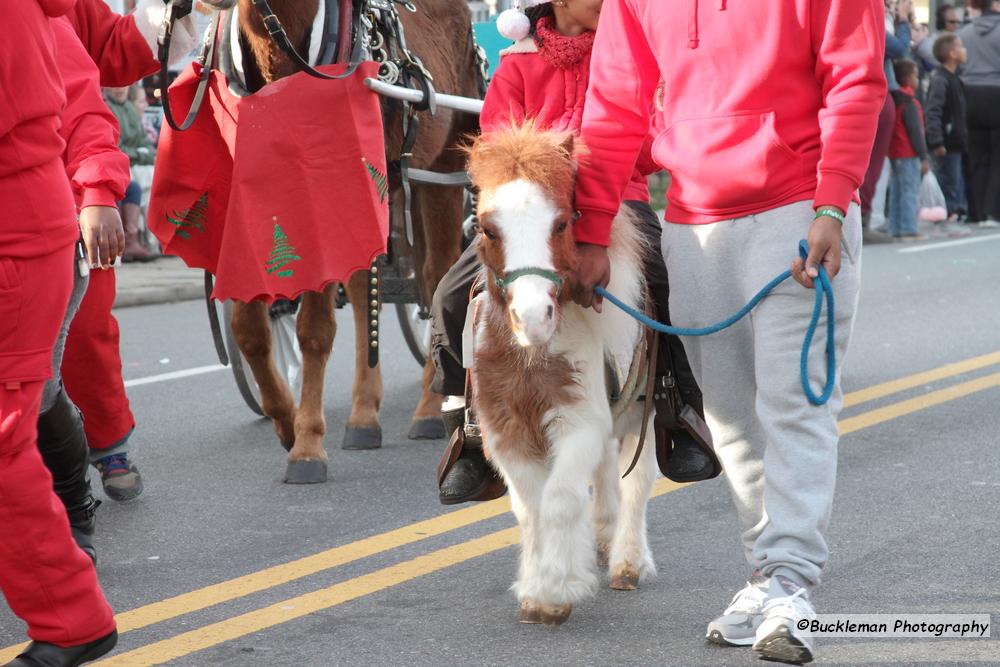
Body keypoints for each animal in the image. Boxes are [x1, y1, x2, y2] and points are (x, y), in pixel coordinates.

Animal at [230, 0, 480, 482]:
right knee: (369, 287)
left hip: (441, 170)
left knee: (438, 276)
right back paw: (364, 416)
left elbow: (314, 330)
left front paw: (307, 446)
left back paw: (429, 408)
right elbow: (249, 327)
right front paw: (285, 421)